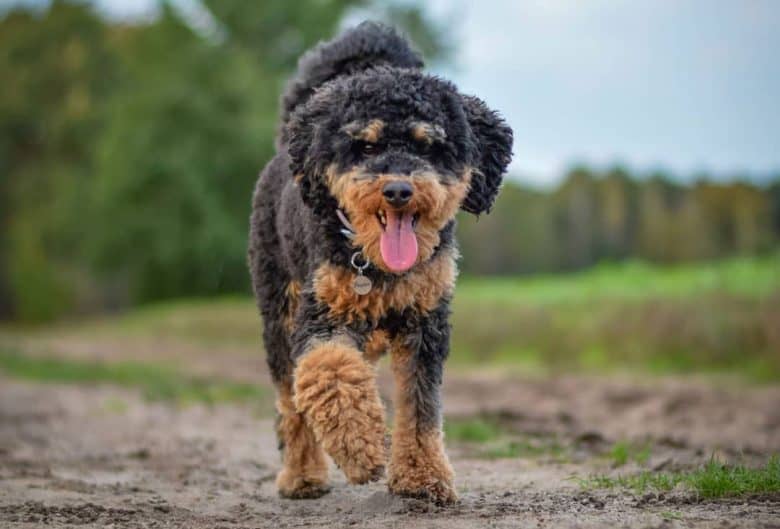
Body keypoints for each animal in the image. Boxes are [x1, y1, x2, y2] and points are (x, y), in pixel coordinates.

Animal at [248, 21, 512, 504]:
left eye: (429, 146)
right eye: (366, 146)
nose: (398, 190)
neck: (379, 266)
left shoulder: (425, 323)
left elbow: (420, 406)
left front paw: (422, 475)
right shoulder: (322, 316)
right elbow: (329, 372)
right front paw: (360, 447)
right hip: (279, 311)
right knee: (291, 398)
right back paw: (302, 475)